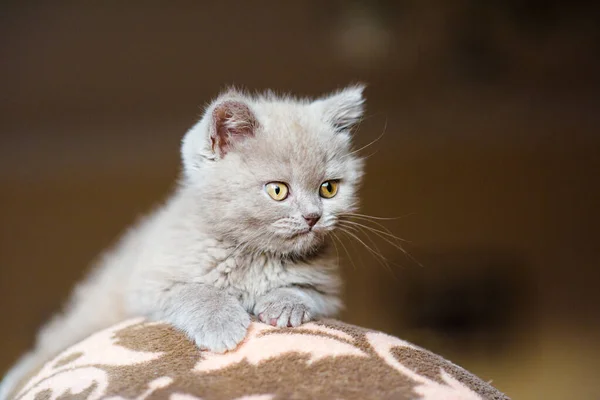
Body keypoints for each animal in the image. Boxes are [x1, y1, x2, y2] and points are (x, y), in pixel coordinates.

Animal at [0, 83, 366, 396]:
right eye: (277, 190)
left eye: (328, 189)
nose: (313, 216)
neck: (252, 256)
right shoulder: (148, 283)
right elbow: (197, 291)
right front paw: (221, 325)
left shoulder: (327, 292)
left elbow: (306, 291)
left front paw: (285, 305)